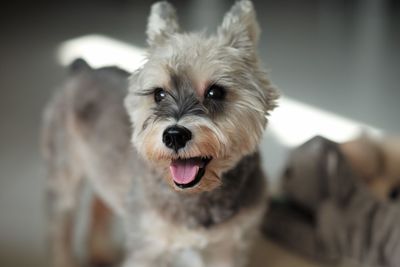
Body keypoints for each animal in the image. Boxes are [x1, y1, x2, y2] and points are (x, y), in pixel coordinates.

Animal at [40, 1, 278, 266]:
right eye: (159, 94)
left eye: (215, 92)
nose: (174, 135)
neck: (194, 195)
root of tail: (83, 70)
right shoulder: (148, 248)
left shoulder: (226, 248)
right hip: (63, 178)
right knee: (60, 229)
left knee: (99, 205)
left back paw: (101, 253)